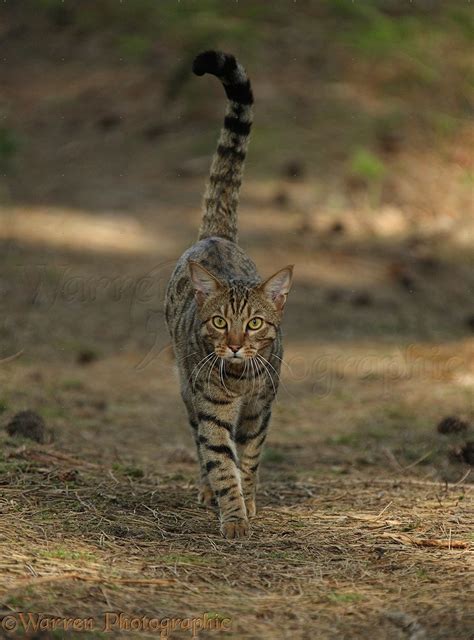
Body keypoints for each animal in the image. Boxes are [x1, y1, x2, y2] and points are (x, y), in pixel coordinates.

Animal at [166, 51, 292, 540]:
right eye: (220, 322)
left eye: (254, 323)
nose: (236, 345)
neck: (239, 379)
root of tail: (216, 234)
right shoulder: (211, 408)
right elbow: (220, 461)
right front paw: (234, 517)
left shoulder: (261, 408)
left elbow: (250, 458)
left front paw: (249, 502)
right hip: (186, 387)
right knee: (199, 441)